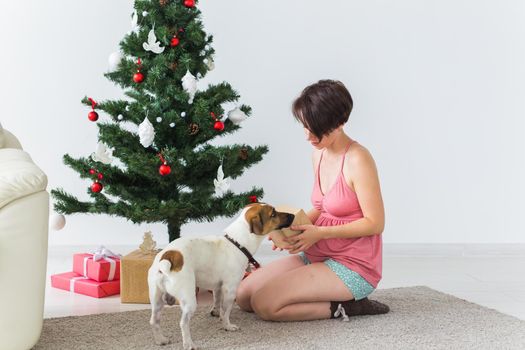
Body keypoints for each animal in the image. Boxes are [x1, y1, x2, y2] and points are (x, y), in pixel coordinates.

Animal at [147, 204, 294, 348]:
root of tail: (167, 258)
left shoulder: (217, 287)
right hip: (189, 300)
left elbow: (217, 301)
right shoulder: (230, 290)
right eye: (273, 214)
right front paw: (227, 325)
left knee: (154, 321)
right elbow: (226, 311)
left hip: (157, 300)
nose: (293, 215)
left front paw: (216, 313)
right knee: (183, 323)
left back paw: (160, 340)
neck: (237, 243)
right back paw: (189, 344)